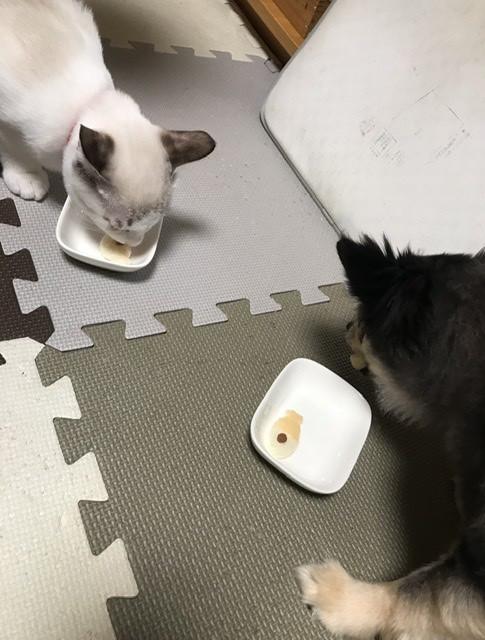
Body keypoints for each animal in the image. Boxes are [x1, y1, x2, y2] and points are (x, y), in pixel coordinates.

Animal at [0, 0, 215, 246]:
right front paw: (28, 177)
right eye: (115, 225)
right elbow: (17, 151)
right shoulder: (9, 122)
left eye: (151, 225)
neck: (89, 101)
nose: (133, 244)